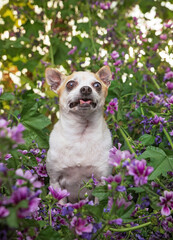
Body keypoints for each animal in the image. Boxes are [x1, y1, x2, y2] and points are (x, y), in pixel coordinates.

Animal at [45, 65, 112, 202]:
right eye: (70, 84)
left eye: (97, 85)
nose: (86, 89)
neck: (81, 135)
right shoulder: (55, 181)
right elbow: (61, 203)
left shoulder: (101, 182)